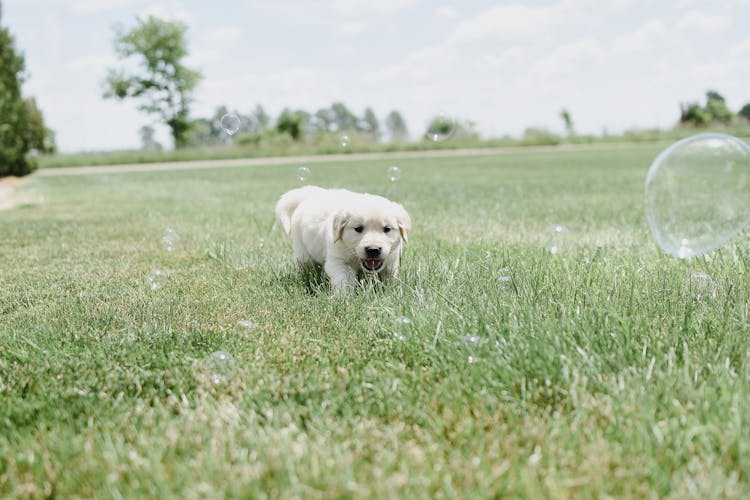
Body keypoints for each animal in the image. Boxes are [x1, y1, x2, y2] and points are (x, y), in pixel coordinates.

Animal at [280, 186, 414, 292]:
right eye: (358, 228)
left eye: (387, 229)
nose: (373, 250)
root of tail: (310, 195)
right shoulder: (338, 261)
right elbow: (344, 281)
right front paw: (344, 299)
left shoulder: (391, 261)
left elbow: (388, 278)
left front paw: (388, 291)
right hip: (303, 253)